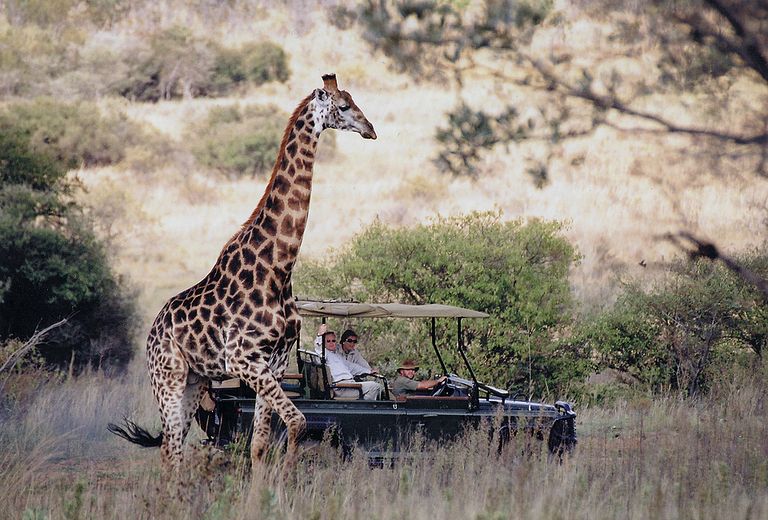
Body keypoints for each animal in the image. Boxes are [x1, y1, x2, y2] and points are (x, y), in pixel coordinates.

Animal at [109, 74, 376, 472]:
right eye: (343, 106)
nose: (370, 129)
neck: (278, 269)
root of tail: (153, 330)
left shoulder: (274, 364)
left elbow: (261, 444)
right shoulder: (243, 359)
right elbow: (297, 422)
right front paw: (287, 476)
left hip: (195, 381)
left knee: (172, 447)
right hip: (168, 378)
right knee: (171, 450)